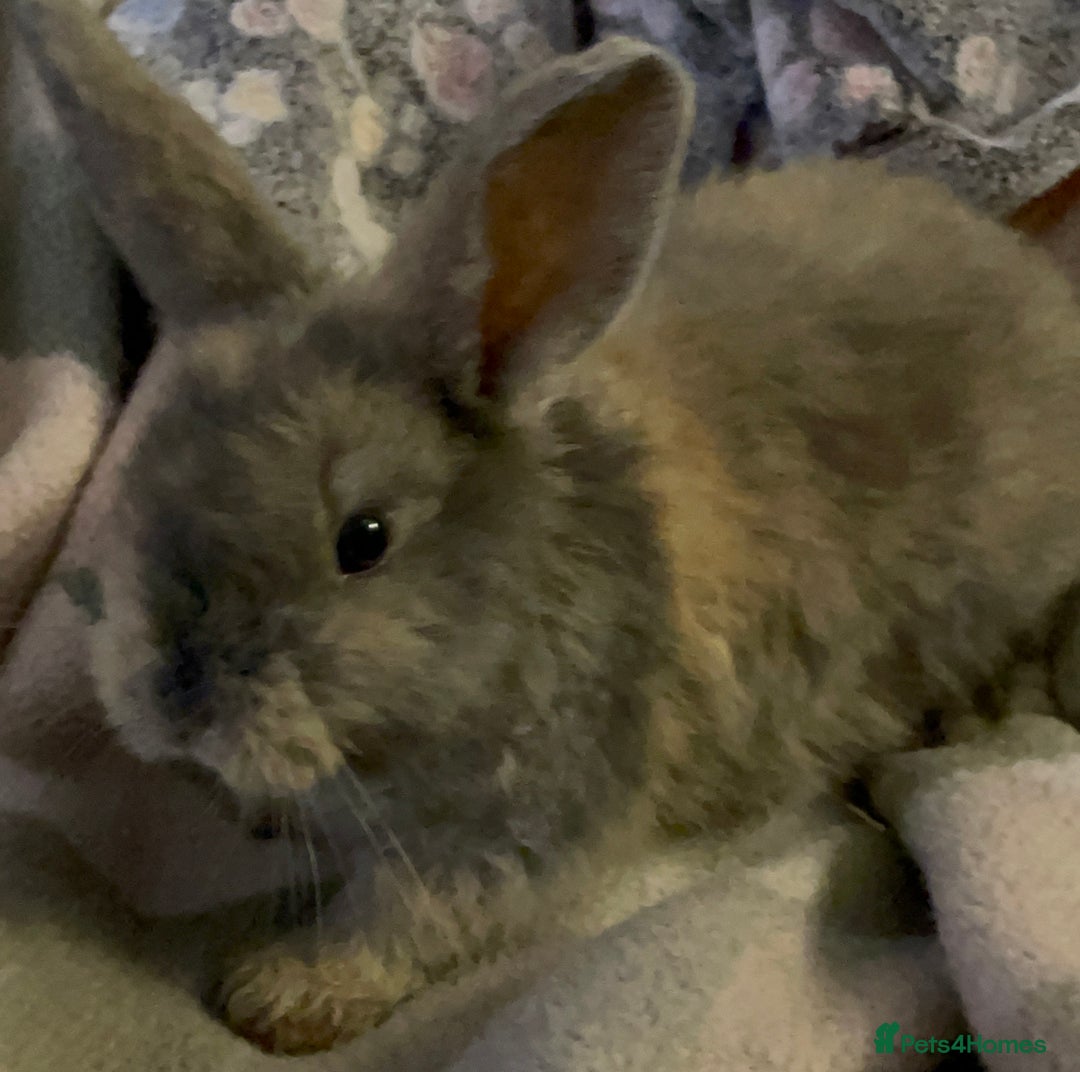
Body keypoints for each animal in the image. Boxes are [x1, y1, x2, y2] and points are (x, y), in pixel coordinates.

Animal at [15, 0, 1080, 1054]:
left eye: (363, 540)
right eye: (140, 483)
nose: (178, 700)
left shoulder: (523, 821)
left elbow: (407, 916)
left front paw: (281, 995)